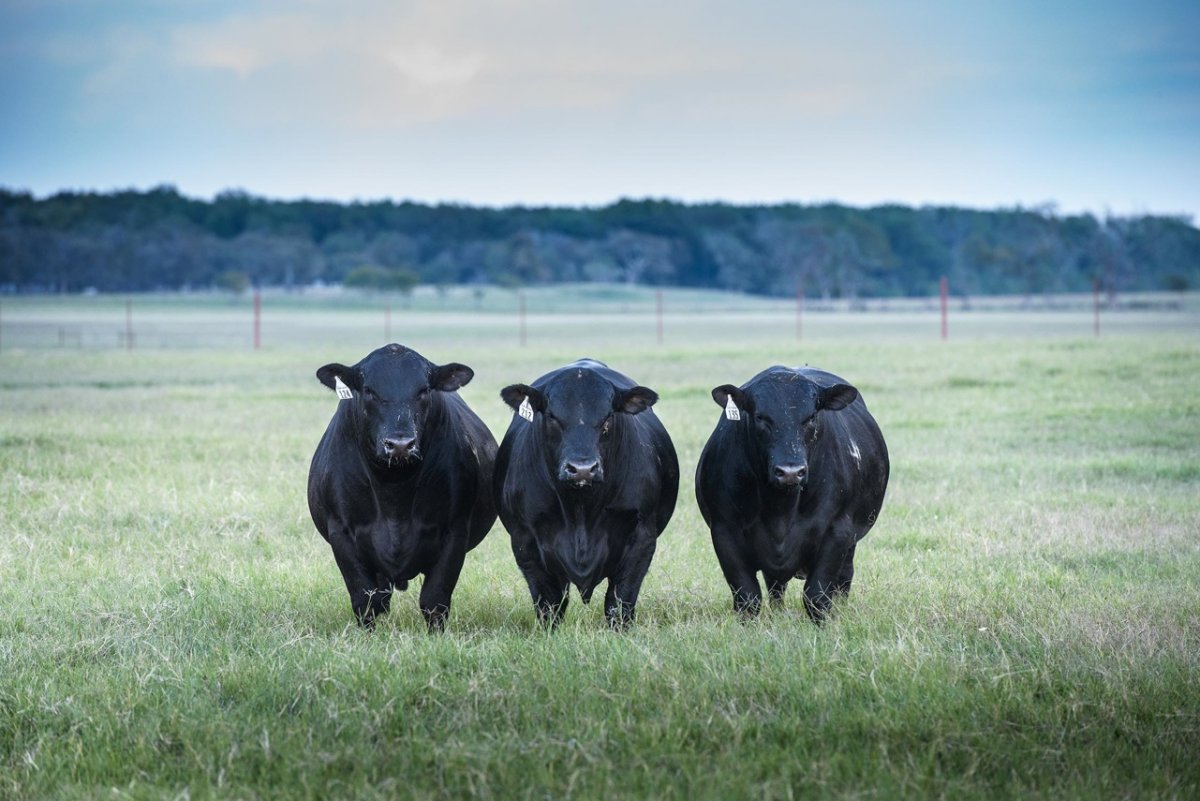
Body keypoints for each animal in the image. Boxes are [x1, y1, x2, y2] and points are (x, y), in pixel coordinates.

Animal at [309, 345, 501, 633]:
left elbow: (434, 598)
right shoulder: (341, 531)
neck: (394, 489)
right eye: (369, 390)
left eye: (423, 390)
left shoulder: (454, 531)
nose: (400, 444)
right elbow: (364, 598)